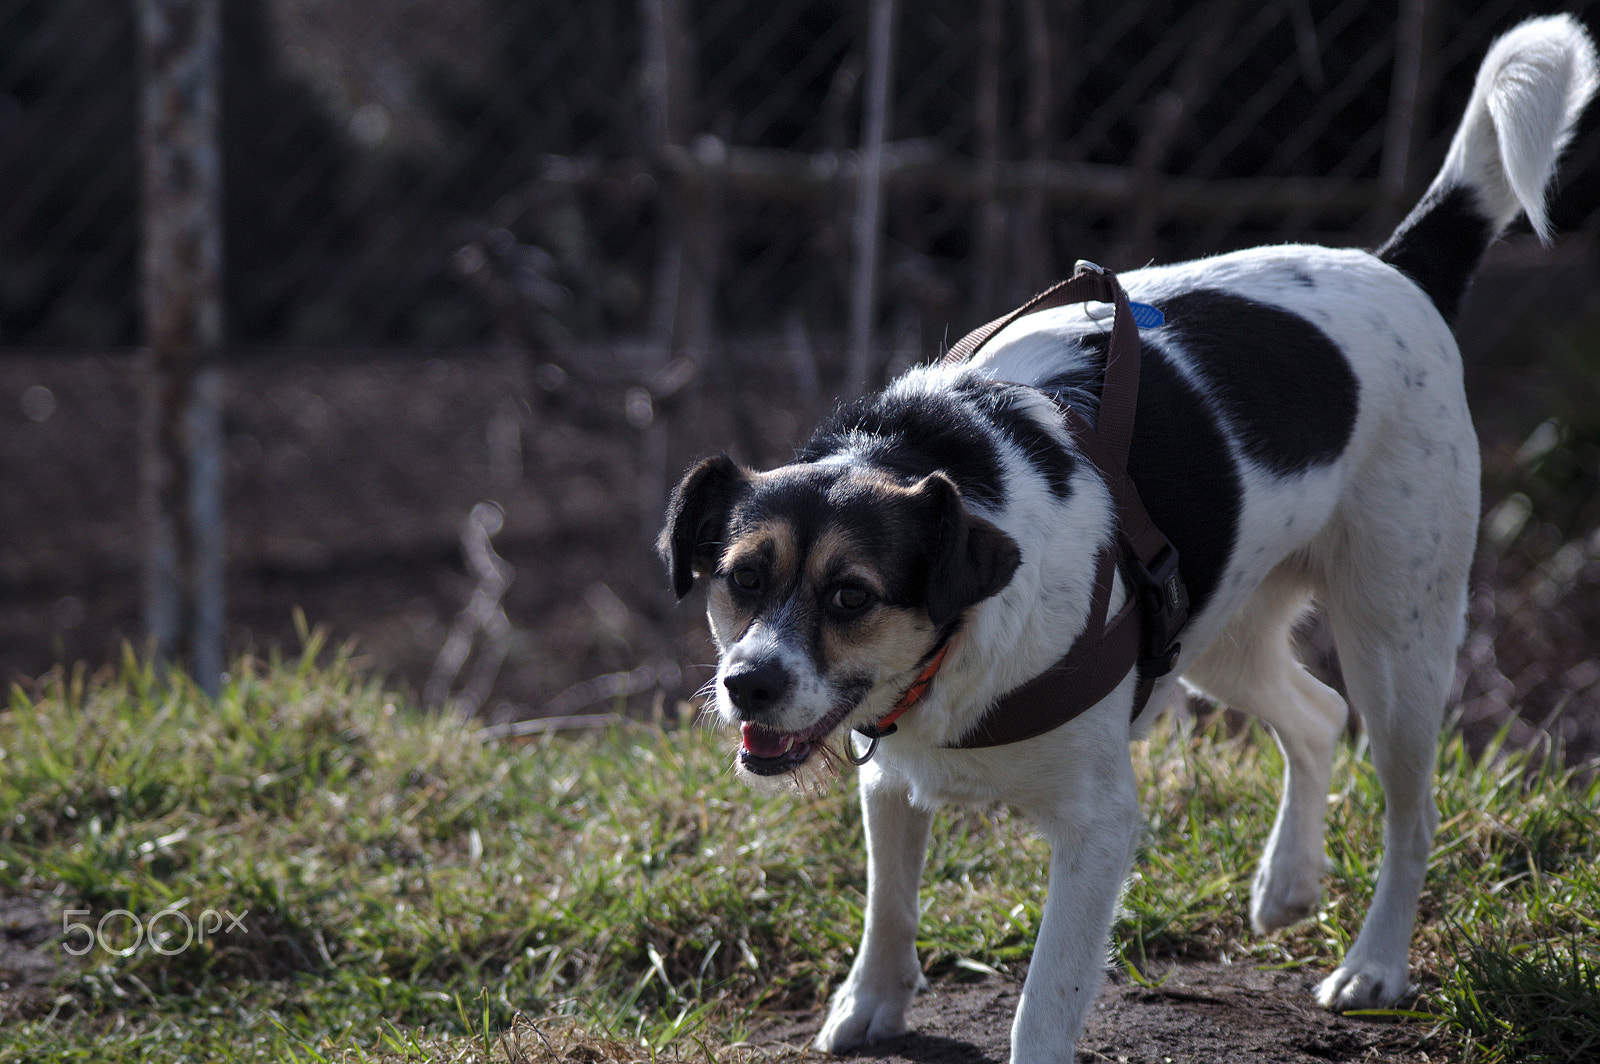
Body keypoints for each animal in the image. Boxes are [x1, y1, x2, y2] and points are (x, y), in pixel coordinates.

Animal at [656, 18, 1593, 1062]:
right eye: (740, 578)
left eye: (851, 594)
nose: (747, 683)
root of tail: (1394, 267)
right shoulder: (889, 777)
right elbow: (888, 905)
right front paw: (870, 1004)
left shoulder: (1098, 827)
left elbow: (1045, 1000)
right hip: (1212, 631)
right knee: (1315, 714)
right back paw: (1286, 884)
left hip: (1397, 636)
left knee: (1409, 806)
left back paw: (1376, 963)